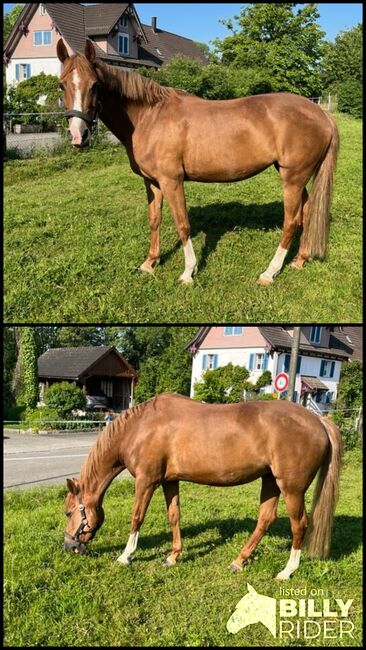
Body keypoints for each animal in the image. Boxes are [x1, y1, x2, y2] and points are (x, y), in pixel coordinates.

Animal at [58, 38, 340, 284]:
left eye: (95, 85)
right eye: (61, 85)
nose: (78, 135)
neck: (149, 116)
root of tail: (321, 113)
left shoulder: (172, 181)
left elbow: (182, 224)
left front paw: (188, 272)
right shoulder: (153, 183)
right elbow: (154, 219)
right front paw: (149, 263)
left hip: (292, 178)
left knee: (291, 221)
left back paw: (269, 273)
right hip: (297, 177)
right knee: (306, 213)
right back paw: (300, 260)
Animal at [64, 390, 342, 576]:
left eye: (68, 512)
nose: (69, 546)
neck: (140, 427)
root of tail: (318, 421)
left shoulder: (146, 480)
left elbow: (137, 517)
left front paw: (125, 555)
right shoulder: (169, 481)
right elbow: (174, 515)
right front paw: (173, 556)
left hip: (291, 488)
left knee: (300, 524)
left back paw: (287, 570)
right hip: (271, 481)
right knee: (266, 519)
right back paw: (239, 560)